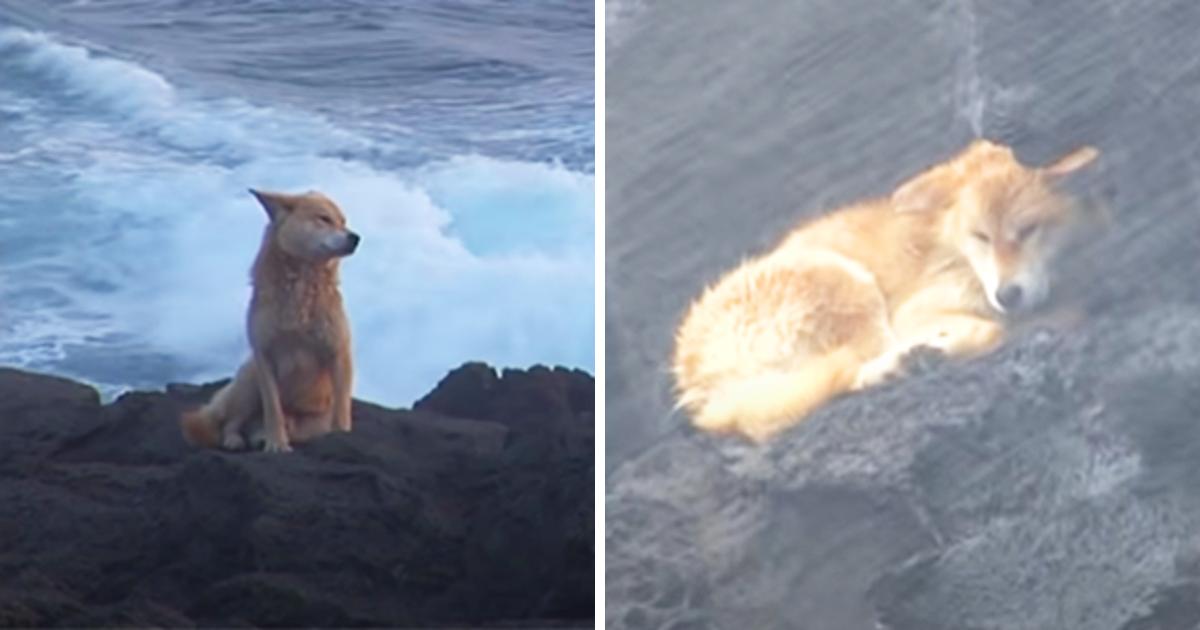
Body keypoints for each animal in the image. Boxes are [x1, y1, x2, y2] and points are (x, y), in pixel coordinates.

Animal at [181, 187, 360, 451]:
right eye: (324, 219)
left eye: (343, 222)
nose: (356, 237)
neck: (300, 284)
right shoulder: (264, 356)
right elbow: (273, 408)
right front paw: (277, 444)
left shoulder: (338, 352)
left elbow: (341, 409)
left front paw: (341, 436)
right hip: (249, 378)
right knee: (232, 421)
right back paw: (237, 439)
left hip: (308, 421)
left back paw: (260, 435)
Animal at [672, 139, 1099, 439]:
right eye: (980, 236)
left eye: (1028, 230)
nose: (1007, 295)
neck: (954, 251)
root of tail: (694, 373)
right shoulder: (915, 311)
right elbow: (992, 327)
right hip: (849, 284)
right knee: (851, 372)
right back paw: (906, 361)